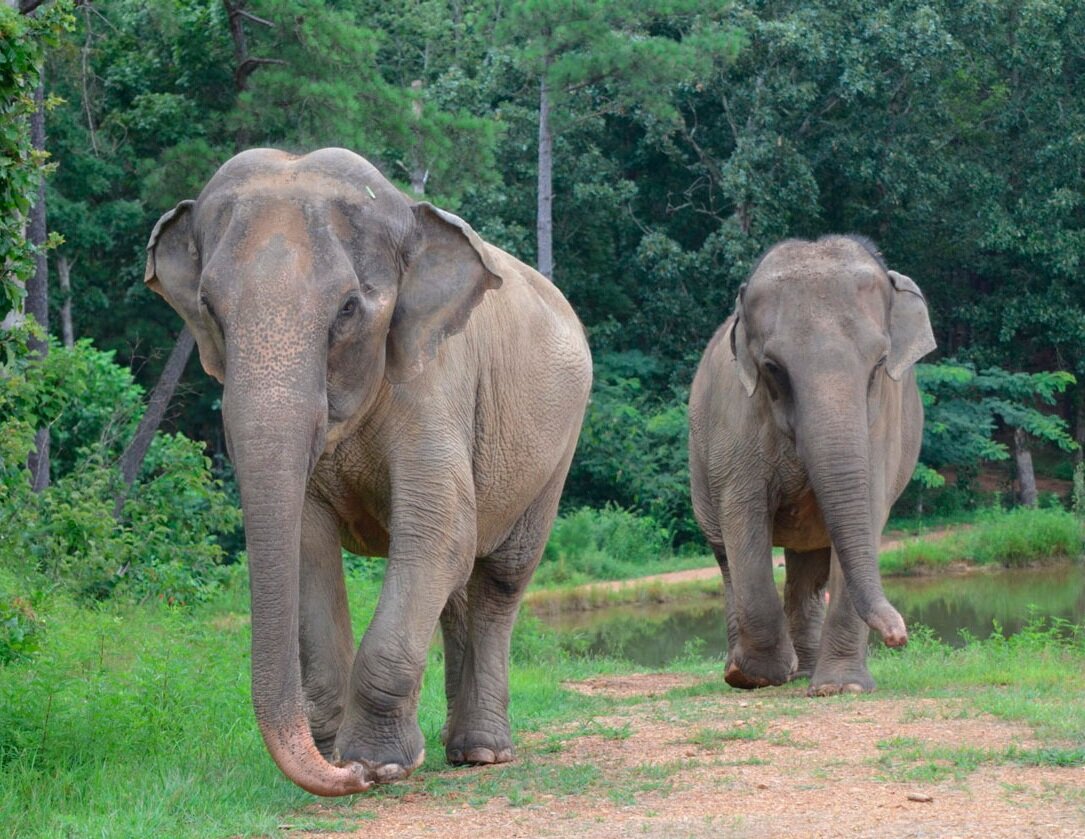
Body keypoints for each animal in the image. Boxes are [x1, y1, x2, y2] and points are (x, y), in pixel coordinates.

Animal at [144, 147, 594, 794]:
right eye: (208, 309)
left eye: (348, 309)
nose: (346, 776)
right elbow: (307, 544)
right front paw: (339, 755)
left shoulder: (436, 380)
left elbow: (437, 531)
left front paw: (378, 765)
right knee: (458, 587)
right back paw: (458, 750)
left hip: (558, 445)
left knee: (500, 575)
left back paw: (484, 753)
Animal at [690, 234, 937, 694]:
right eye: (772, 368)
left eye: (879, 364)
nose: (900, 635)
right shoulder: (736, 422)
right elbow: (742, 514)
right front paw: (759, 675)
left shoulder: (883, 423)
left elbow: (867, 512)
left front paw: (841, 688)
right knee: (725, 555)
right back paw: (743, 671)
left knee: (810, 568)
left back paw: (805, 671)